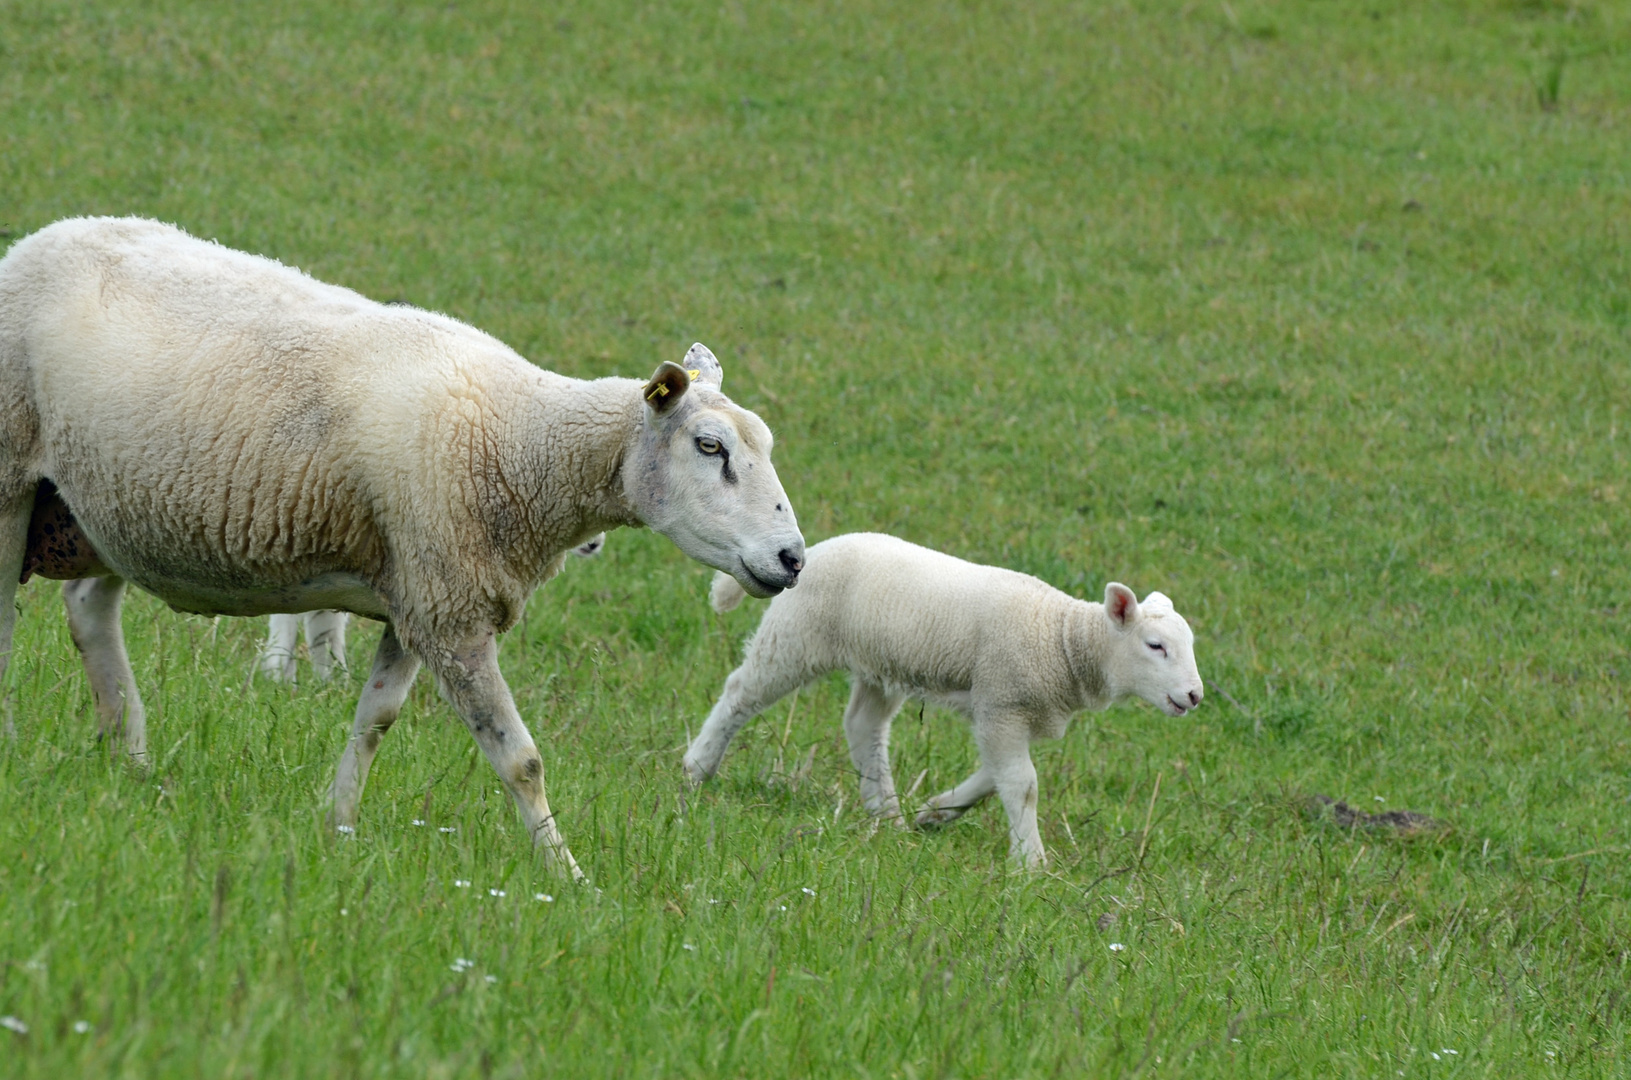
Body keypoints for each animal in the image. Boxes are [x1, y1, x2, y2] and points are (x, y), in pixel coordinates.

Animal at [0, 218, 802, 880]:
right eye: (709, 446)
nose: (793, 559)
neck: (523, 442)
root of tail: (41, 236)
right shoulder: (450, 615)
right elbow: (521, 759)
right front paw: (569, 877)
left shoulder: (422, 600)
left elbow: (374, 722)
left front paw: (338, 827)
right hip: (11, 474)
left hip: (103, 509)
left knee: (89, 611)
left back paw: (129, 759)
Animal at [681, 535, 1206, 874]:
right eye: (1156, 646)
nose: (1195, 695)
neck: (1062, 640)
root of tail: (817, 550)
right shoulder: (1002, 703)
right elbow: (1023, 784)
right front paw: (1031, 863)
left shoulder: (1005, 710)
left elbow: (996, 778)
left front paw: (935, 812)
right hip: (795, 636)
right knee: (740, 693)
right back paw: (697, 767)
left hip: (880, 663)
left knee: (864, 726)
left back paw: (886, 814)